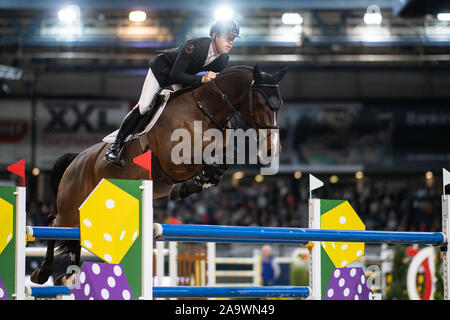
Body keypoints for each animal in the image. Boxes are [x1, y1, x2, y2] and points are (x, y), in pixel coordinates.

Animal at [31, 63, 286, 284]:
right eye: (261, 104)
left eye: (280, 105)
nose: (271, 150)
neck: (204, 110)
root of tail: (76, 160)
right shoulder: (175, 161)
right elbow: (213, 156)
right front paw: (194, 183)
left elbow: (225, 156)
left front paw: (197, 183)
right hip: (71, 208)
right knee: (54, 224)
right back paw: (43, 273)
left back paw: (70, 274)